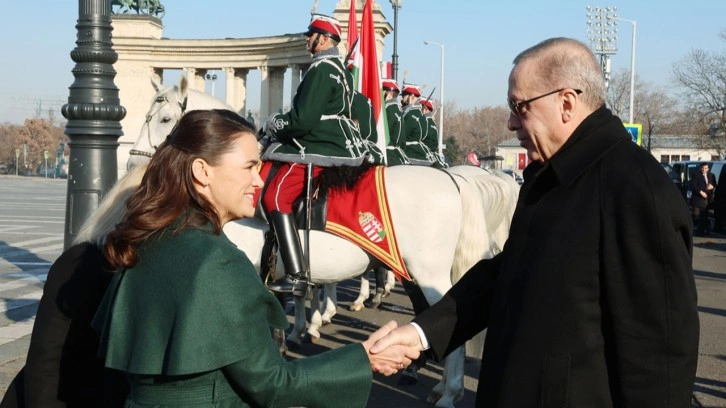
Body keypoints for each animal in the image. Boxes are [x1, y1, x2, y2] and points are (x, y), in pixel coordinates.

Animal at [128, 77, 520, 408]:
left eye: (164, 118)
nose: (132, 162)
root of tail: (454, 181)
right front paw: (303, 330)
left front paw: (305, 331)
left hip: (428, 274)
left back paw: (447, 392)